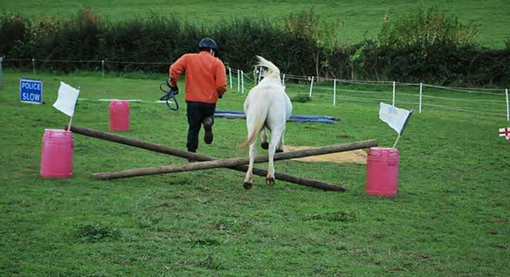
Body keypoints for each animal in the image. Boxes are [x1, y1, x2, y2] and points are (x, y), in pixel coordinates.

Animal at [239, 56, 290, 190]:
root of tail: (266, 96)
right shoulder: (282, 125)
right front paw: (280, 147)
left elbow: (263, 129)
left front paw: (264, 141)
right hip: (277, 126)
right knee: (271, 148)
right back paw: (270, 177)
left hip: (251, 125)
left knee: (252, 150)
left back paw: (248, 180)